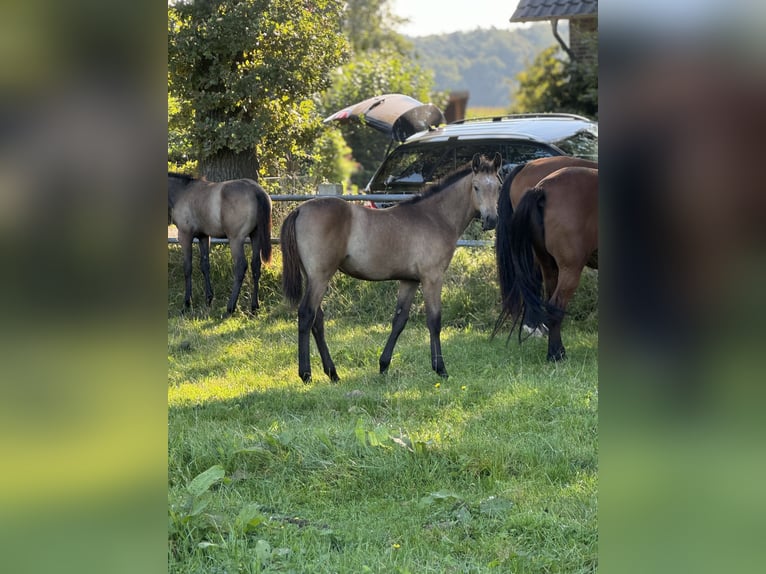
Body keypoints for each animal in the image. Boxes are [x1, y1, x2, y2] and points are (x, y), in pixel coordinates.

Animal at [280, 155, 504, 384]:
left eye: (498, 187)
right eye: (476, 187)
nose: (491, 220)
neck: (435, 217)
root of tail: (300, 210)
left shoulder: (410, 281)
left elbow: (399, 320)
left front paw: (383, 365)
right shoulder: (432, 278)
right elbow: (434, 321)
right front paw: (441, 369)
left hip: (313, 277)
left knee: (318, 320)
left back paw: (333, 373)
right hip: (320, 276)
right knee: (307, 315)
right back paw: (306, 374)